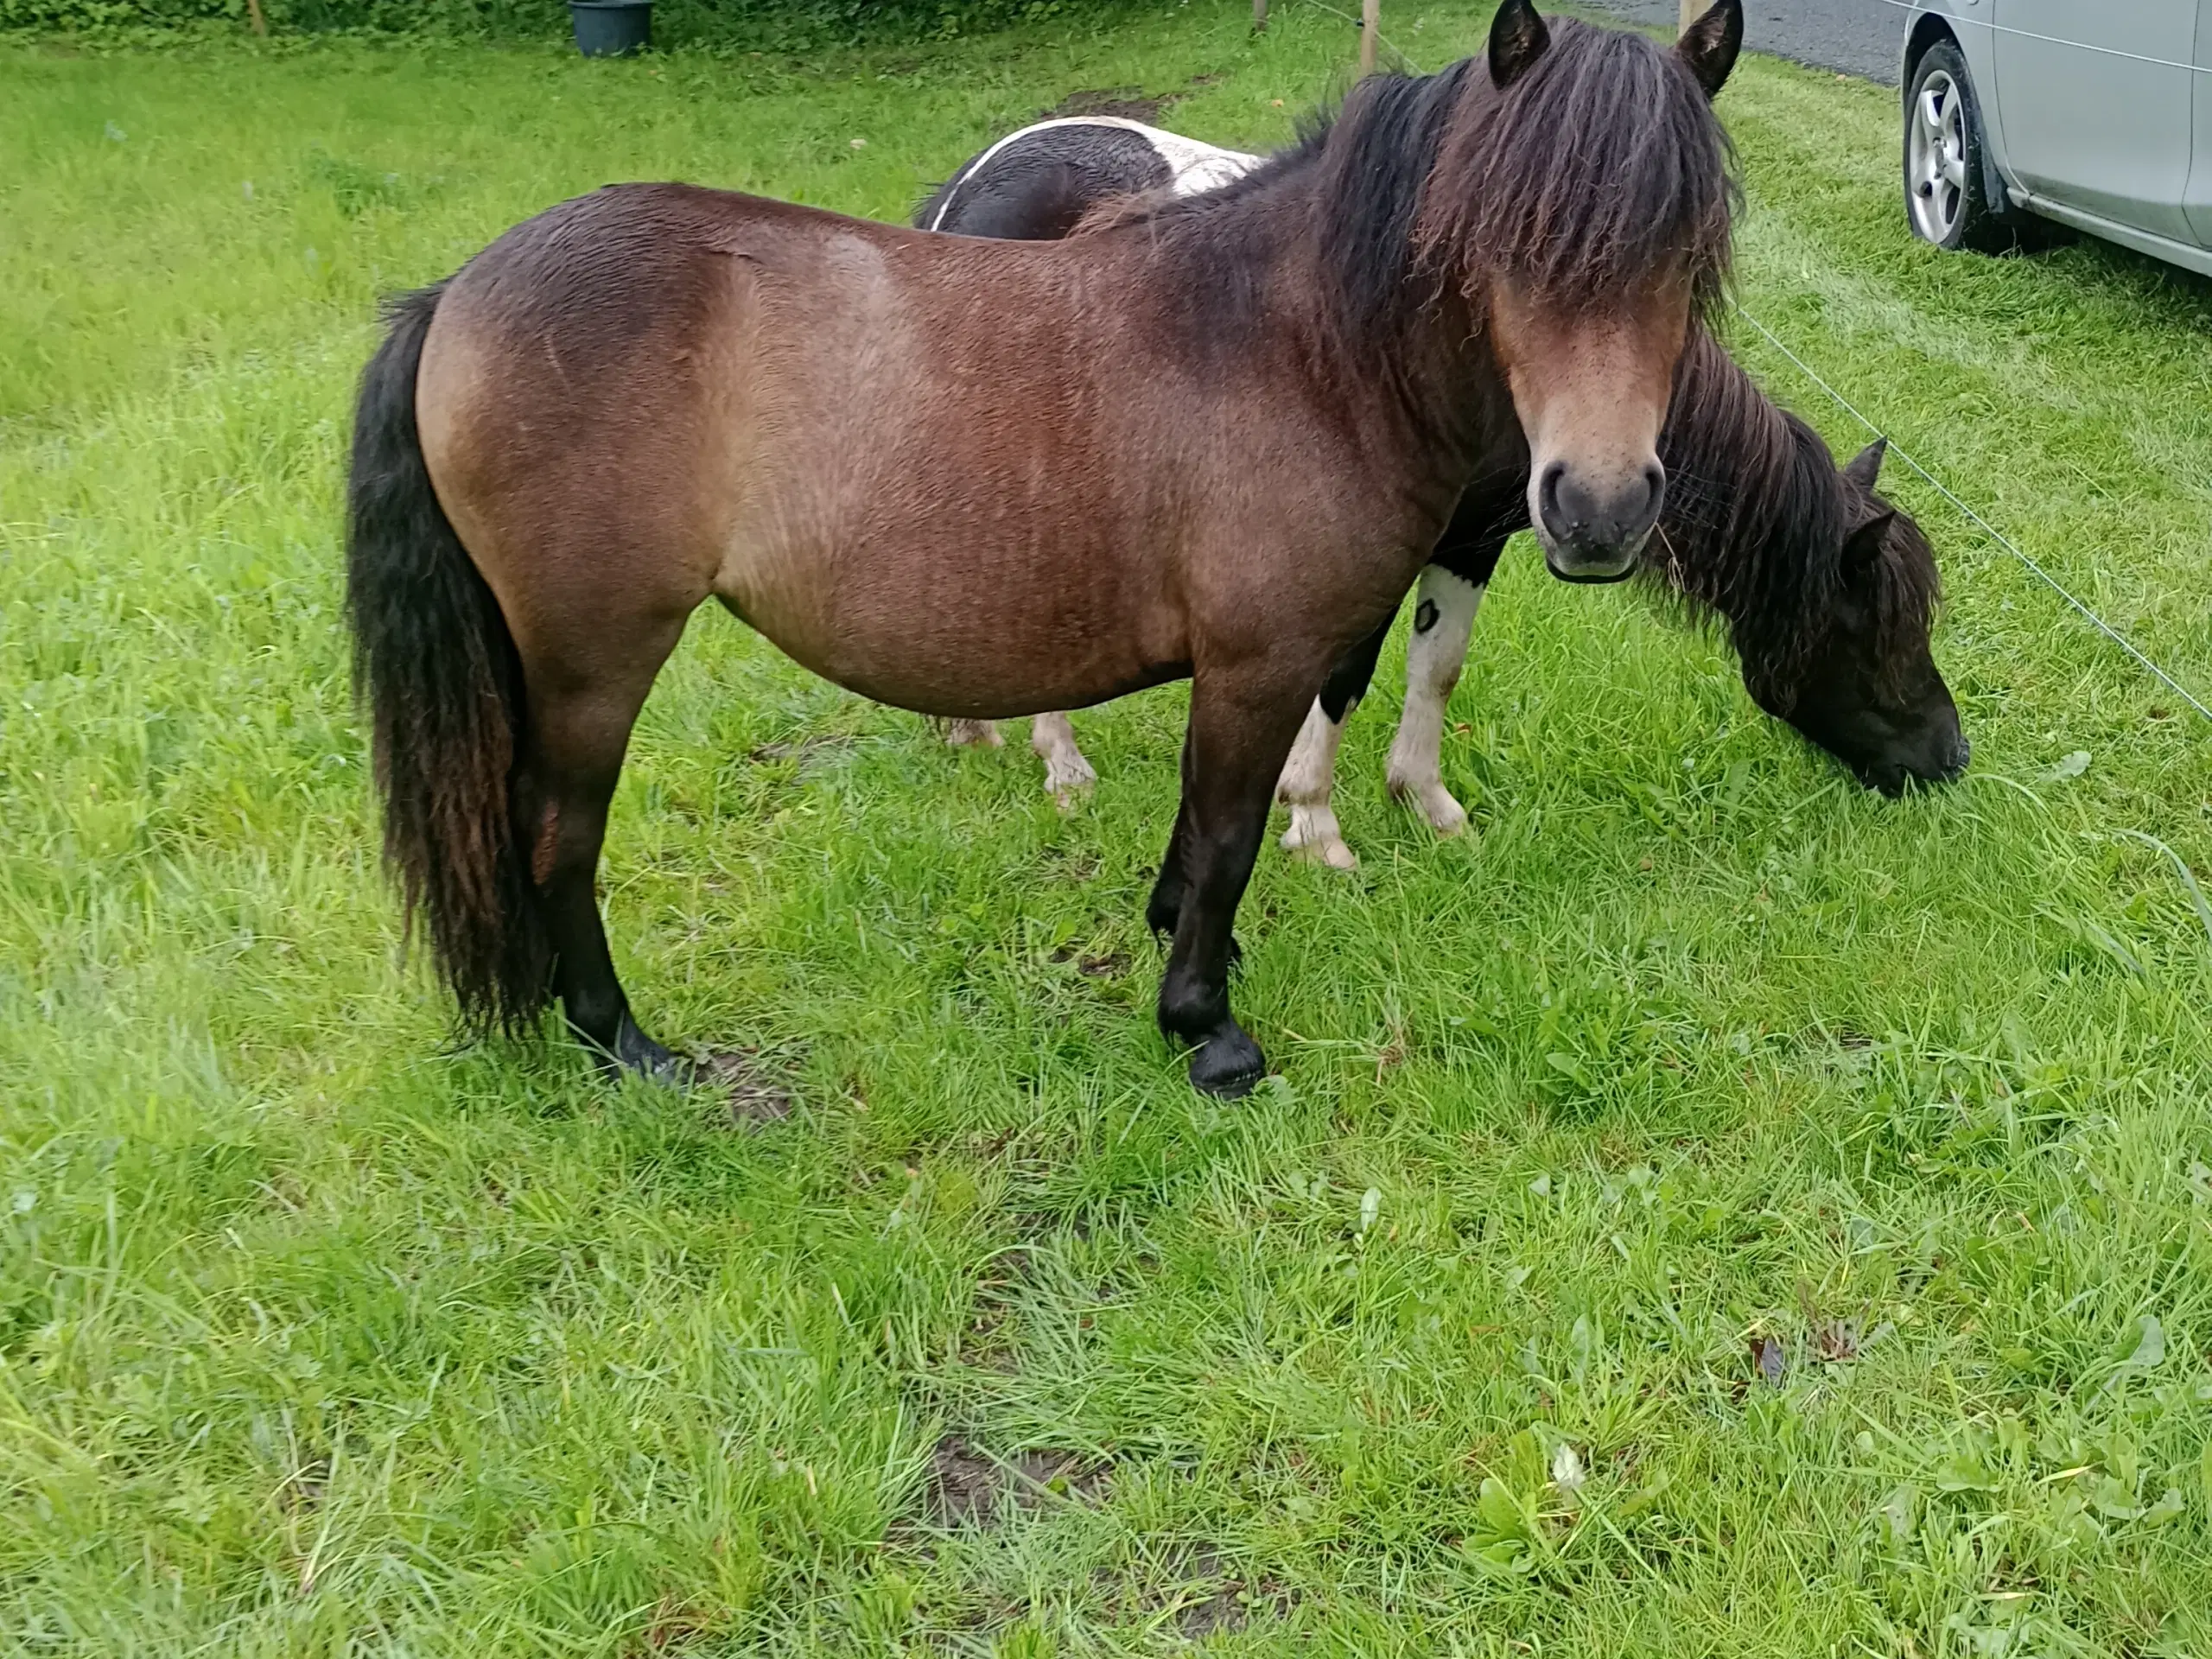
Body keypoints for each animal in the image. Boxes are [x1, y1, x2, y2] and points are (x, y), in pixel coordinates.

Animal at [349, 3, 1743, 1106]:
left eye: (1688, 246)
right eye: (1510, 237)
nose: (1599, 507)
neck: (1292, 349)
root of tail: (457, 293)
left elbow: (1203, 833)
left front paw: (1193, 950)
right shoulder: (1260, 663)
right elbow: (1229, 832)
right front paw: (1206, 1029)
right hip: (592, 659)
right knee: (554, 836)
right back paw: (620, 1044)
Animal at [906, 117, 1964, 871]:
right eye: (1875, 629)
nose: (1948, 758)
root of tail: (962, 190)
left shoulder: (1473, 538)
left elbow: (1437, 666)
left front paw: (1429, 807)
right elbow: (1345, 675)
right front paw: (1315, 826)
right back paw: (1060, 763)